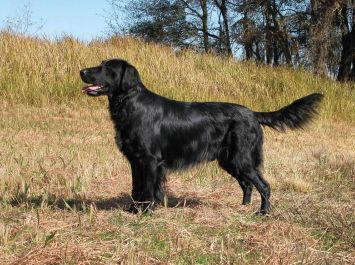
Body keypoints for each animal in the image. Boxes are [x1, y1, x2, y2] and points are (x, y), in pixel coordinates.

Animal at [79, 58, 324, 214]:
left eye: (107, 67)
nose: (82, 71)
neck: (130, 104)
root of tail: (253, 113)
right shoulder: (136, 161)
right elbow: (136, 188)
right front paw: (133, 210)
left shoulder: (149, 160)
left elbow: (146, 189)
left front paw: (145, 212)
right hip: (229, 160)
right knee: (247, 185)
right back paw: (243, 207)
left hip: (241, 159)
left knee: (264, 185)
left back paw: (262, 213)